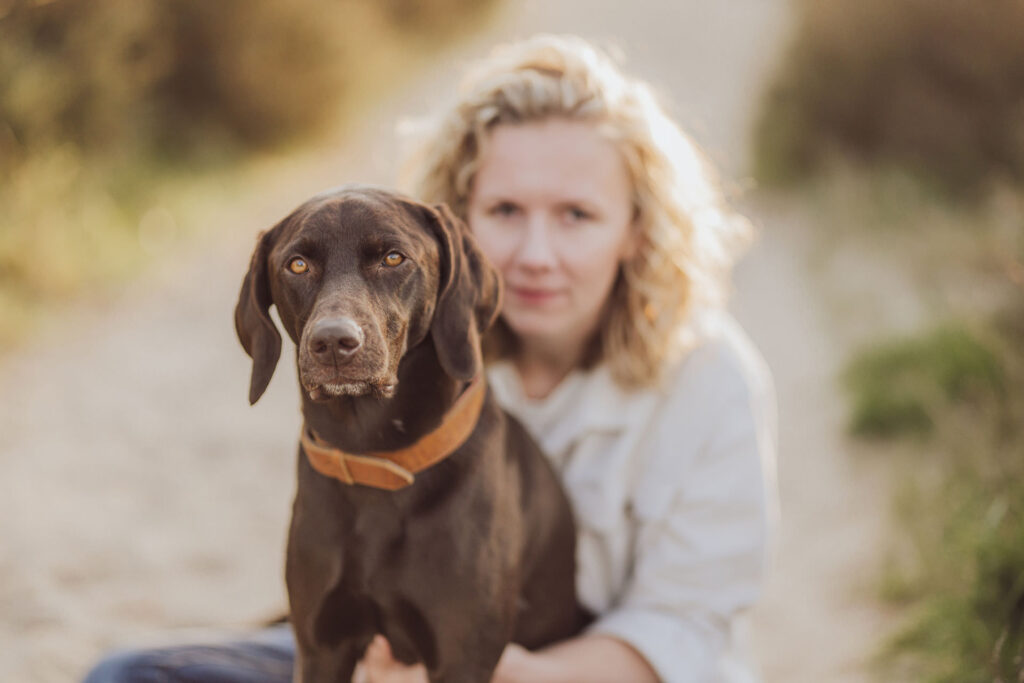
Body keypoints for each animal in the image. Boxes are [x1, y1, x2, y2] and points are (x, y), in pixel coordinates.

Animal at [235, 187, 589, 683]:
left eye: (393, 257)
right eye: (297, 265)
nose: (333, 343)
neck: (375, 457)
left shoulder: (464, 656)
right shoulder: (321, 647)